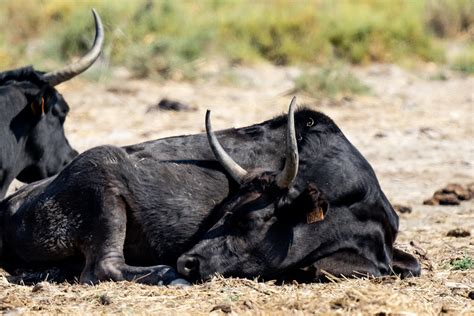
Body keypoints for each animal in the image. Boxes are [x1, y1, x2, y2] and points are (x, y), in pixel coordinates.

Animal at [0, 96, 418, 284]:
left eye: (251, 221)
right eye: (221, 214)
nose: (188, 260)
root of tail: (8, 209)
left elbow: (411, 264)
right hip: (103, 182)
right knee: (103, 267)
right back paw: (167, 273)